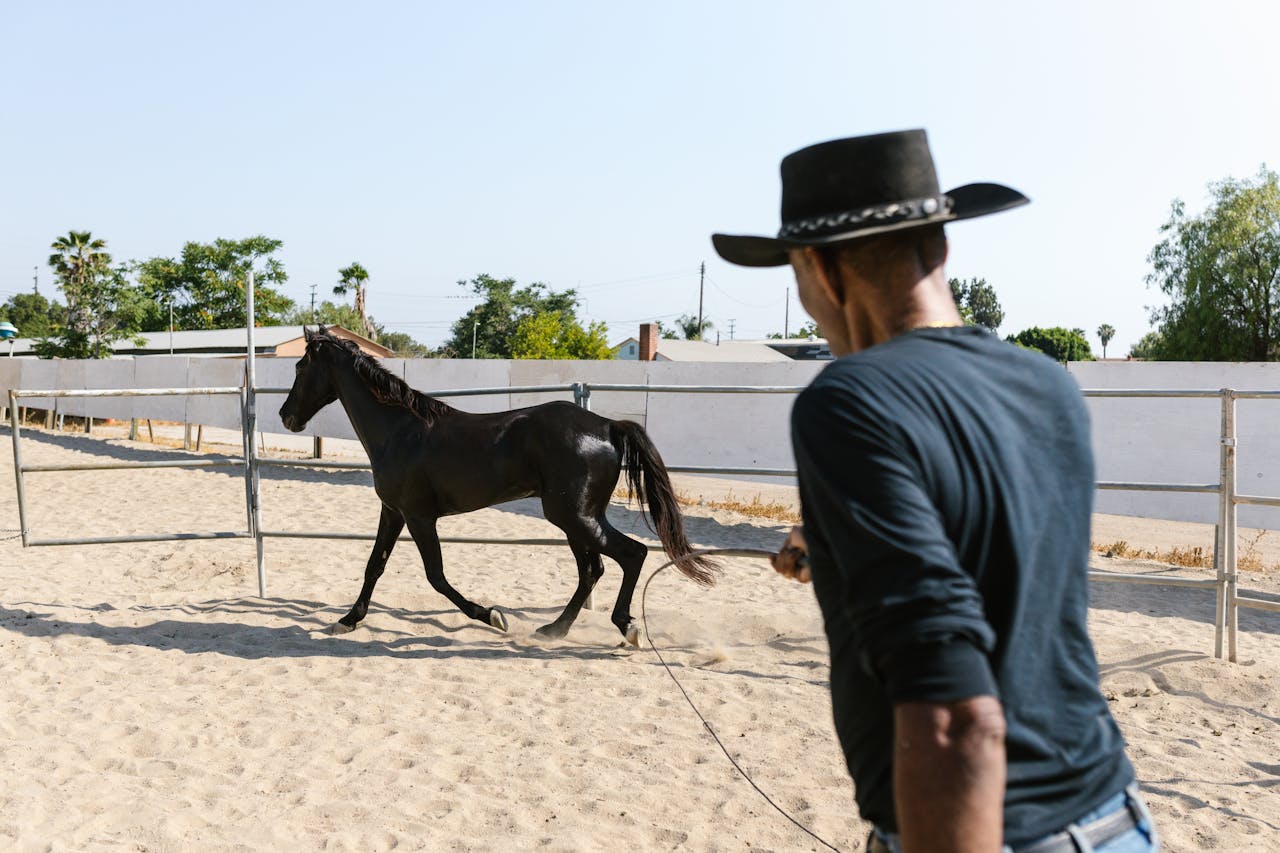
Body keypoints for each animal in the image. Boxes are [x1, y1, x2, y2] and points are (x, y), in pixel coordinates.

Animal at [277, 327, 716, 645]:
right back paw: (553, 630)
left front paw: (492, 616)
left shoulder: (419, 517)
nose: (286, 416)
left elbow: (435, 576)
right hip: (579, 518)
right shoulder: (393, 512)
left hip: (573, 516)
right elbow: (374, 566)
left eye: (299, 368)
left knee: (632, 554)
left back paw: (626, 628)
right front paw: (347, 620)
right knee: (593, 569)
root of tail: (608, 426)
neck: (400, 431)